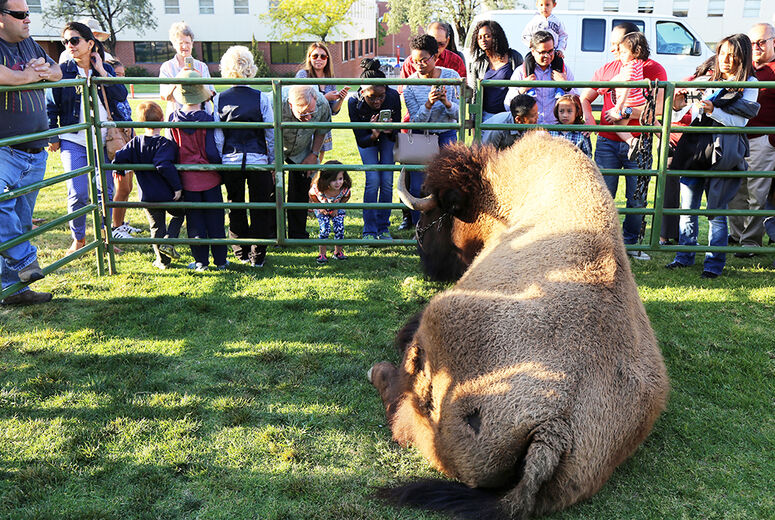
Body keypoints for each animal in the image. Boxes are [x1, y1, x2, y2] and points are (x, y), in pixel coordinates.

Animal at [368, 134, 669, 519]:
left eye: (435, 213)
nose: (428, 261)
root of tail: (554, 429)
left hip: (441, 317)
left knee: (406, 416)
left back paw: (380, 372)